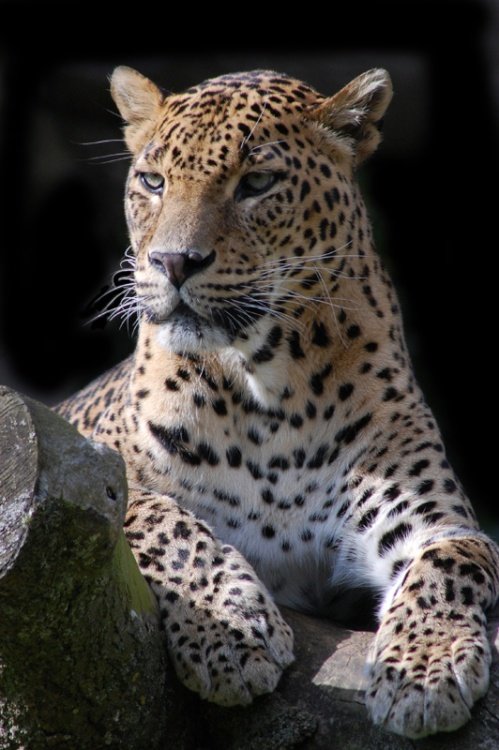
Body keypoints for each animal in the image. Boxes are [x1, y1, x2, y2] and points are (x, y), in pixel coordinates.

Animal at [56, 65, 499, 739]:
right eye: (154, 182)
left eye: (257, 184)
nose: (172, 262)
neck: (266, 391)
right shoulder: (92, 465)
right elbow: (155, 516)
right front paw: (230, 633)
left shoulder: (433, 521)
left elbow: (449, 565)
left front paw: (422, 671)